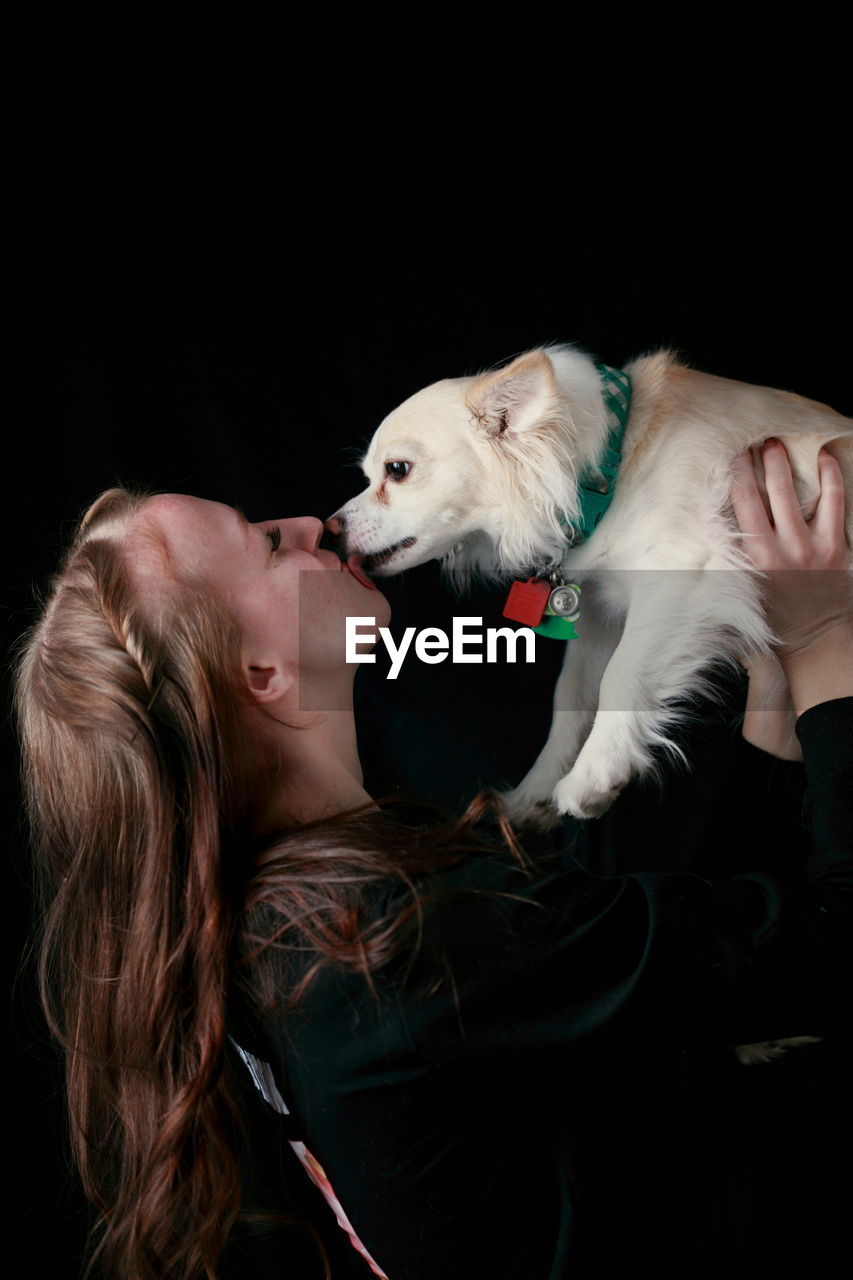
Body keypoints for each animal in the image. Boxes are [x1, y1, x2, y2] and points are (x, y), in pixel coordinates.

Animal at [330, 345, 850, 824]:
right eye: (369, 476)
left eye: (397, 471)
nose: (332, 528)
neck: (609, 476)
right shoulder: (600, 615)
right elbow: (572, 696)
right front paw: (534, 793)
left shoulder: (686, 578)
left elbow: (622, 676)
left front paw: (595, 774)